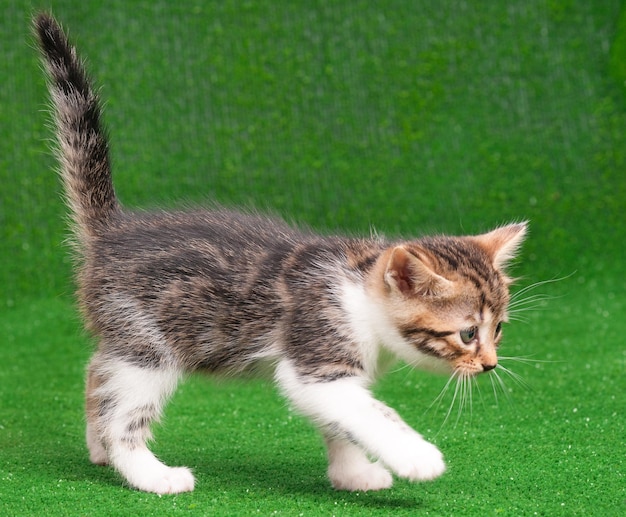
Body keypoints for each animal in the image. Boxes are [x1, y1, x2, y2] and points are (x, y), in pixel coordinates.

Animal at [33, 14, 520, 494]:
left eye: (498, 329)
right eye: (468, 334)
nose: (490, 365)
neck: (360, 292)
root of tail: (113, 230)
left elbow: (343, 423)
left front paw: (354, 474)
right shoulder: (317, 358)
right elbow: (371, 412)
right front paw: (416, 457)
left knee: (98, 372)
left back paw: (98, 447)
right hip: (148, 342)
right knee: (123, 415)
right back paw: (151, 474)